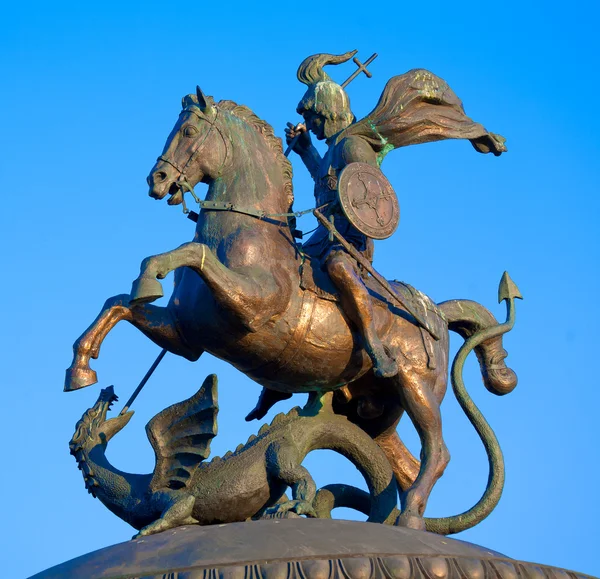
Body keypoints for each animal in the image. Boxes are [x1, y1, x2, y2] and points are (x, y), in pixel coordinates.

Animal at [64, 88, 516, 532]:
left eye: (189, 130)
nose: (156, 180)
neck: (248, 231)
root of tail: (435, 312)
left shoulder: (250, 307)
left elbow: (188, 253)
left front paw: (151, 277)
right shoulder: (186, 337)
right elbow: (118, 303)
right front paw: (81, 369)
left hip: (416, 386)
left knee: (437, 453)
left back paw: (406, 516)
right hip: (375, 412)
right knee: (402, 467)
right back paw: (406, 518)